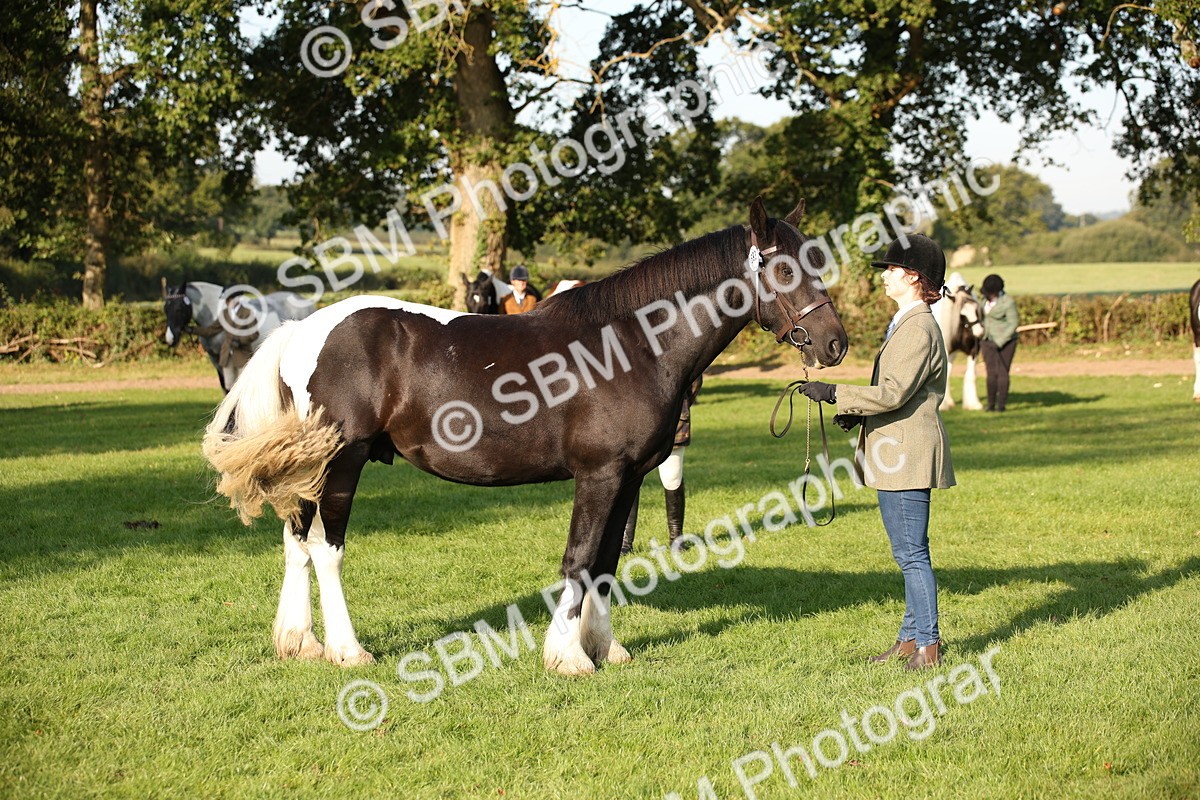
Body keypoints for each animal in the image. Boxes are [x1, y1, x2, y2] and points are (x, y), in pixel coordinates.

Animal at [162, 280, 315, 392]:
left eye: (179, 308)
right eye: (165, 308)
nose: (170, 338)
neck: (215, 311)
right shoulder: (216, 359)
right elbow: (225, 388)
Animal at [202, 197, 847, 675]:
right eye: (784, 267)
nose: (834, 343)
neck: (631, 345)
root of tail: (301, 329)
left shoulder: (628, 477)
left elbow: (605, 563)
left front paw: (604, 647)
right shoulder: (599, 475)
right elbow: (579, 558)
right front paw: (567, 656)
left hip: (312, 469)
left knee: (295, 541)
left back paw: (300, 642)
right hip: (343, 463)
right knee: (325, 548)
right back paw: (346, 650)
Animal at [933, 271, 984, 411]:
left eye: (976, 309)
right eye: (963, 314)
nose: (980, 332)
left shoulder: (973, 350)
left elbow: (971, 374)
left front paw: (973, 404)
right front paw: (943, 406)